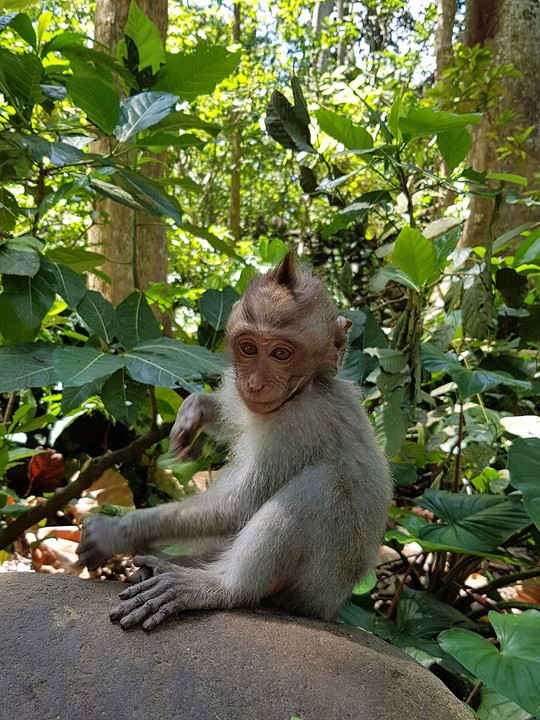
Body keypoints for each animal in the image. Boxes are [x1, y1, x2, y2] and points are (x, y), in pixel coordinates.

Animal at [77, 252, 393, 631]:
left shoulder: (299, 423)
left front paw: (115, 531)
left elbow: (240, 506)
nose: (255, 383)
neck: (307, 388)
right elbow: (234, 420)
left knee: (322, 485)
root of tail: (331, 607)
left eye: (281, 354)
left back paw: (218, 586)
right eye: (248, 347)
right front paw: (194, 411)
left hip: (317, 585)